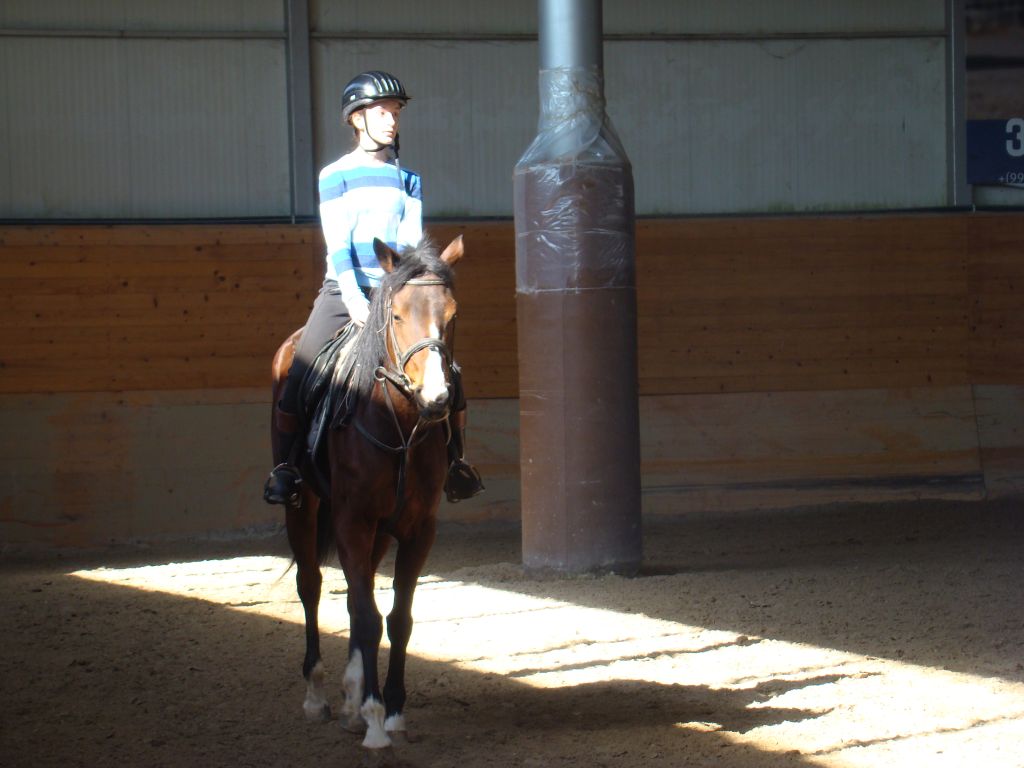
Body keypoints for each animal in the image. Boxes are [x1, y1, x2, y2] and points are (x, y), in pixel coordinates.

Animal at [272, 236, 464, 753]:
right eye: (395, 315)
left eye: (452, 314)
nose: (437, 398)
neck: (397, 422)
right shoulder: (351, 522)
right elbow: (367, 616)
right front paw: (376, 722)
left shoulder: (418, 529)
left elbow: (396, 618)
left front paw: (391, 712)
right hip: (304, 507)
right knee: (312, 587)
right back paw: (318, 697)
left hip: (377, 531)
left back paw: (351, 699)